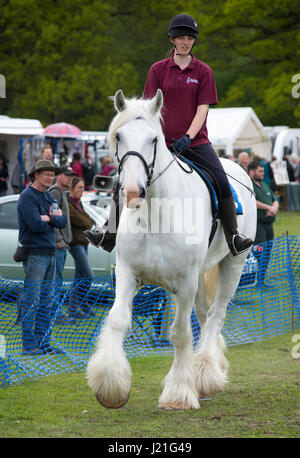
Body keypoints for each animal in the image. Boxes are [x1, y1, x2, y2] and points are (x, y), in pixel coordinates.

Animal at [86, 89, 255, 412]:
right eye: (119, 136)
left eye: (154, 139)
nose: (131, 192)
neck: (155, 215)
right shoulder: (128, 274)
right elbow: (118, 320)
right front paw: (110, 385)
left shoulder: (185, 283)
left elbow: (179, 334)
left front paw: (179, 393)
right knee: (205, 314)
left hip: (233, 265)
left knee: (216, 316)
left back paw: (205, 372)